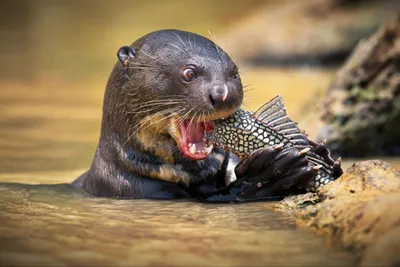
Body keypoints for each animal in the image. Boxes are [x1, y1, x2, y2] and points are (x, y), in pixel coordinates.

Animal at [72, 29, 334, 201]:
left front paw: (322, 154)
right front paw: (269, 172)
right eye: (189, 73)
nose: (223, 94)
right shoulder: (139, 189)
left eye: (234, 73)